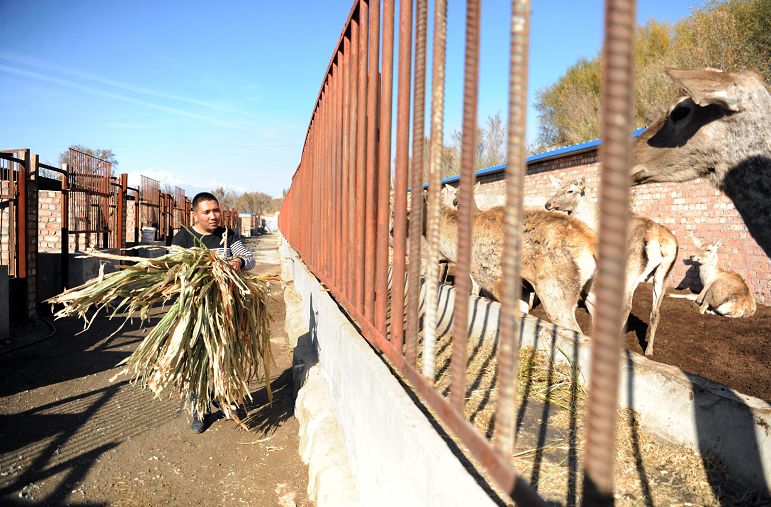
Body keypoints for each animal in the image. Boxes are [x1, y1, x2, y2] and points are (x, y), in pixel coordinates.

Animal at [544, 179, 680, 358]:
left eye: (570, 191)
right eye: (558, 188)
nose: (548, 203)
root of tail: (664, 244)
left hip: (632, 269)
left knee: (627, 306)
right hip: (663, 273)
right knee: (656, 311)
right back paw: (649, 350)